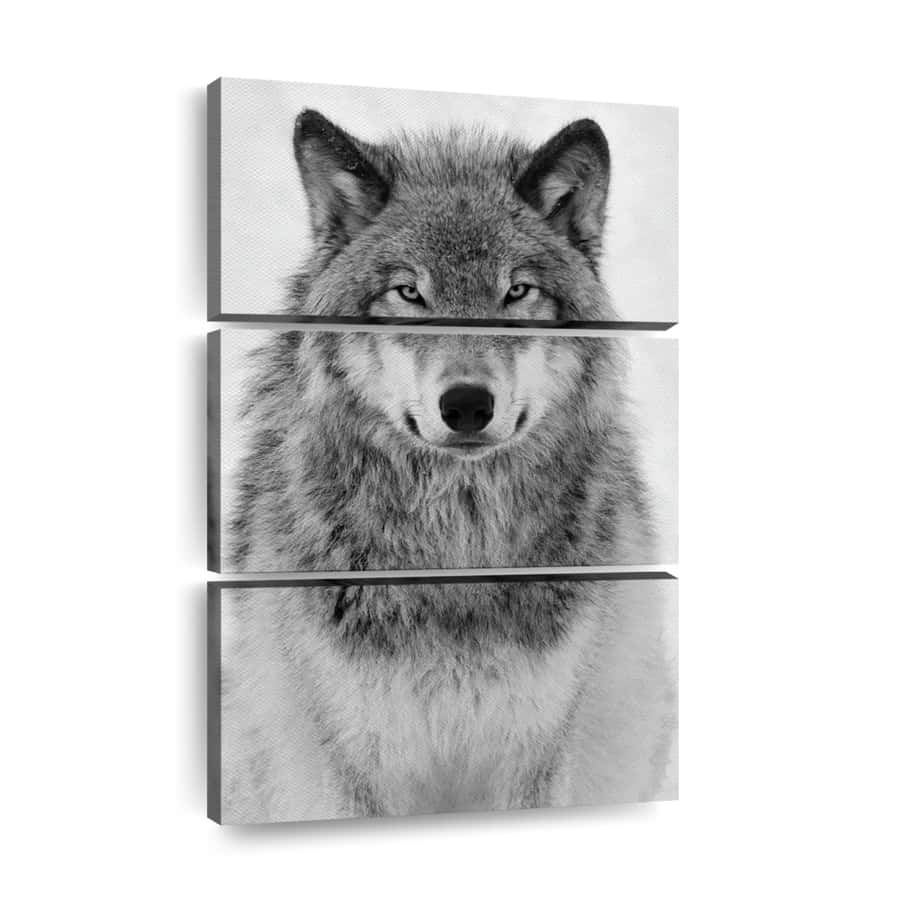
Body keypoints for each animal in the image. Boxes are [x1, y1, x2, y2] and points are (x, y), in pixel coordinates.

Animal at [217, 111, 675, 822]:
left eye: (517, 291)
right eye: (409, 292)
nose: (465, 405)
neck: (455, 554)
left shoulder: (538, 752)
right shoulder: (350, 759)